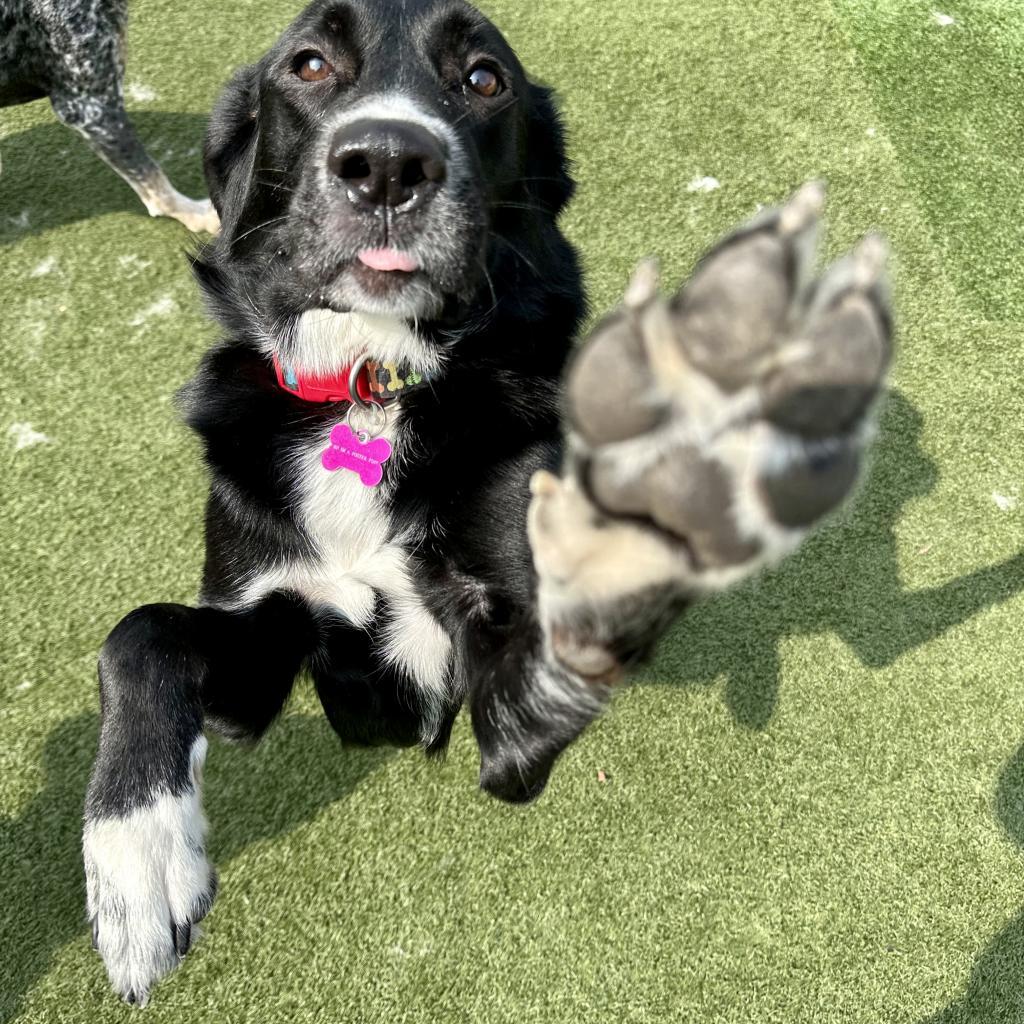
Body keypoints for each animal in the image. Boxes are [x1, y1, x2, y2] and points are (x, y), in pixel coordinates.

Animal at [83, 0, 892, 1003]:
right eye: (308, 64)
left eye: (483, 78)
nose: (387, 163)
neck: (376, 381)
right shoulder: (275, 643)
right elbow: (144, 632)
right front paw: (135, 860)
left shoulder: (510, 656)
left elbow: (537, 671)